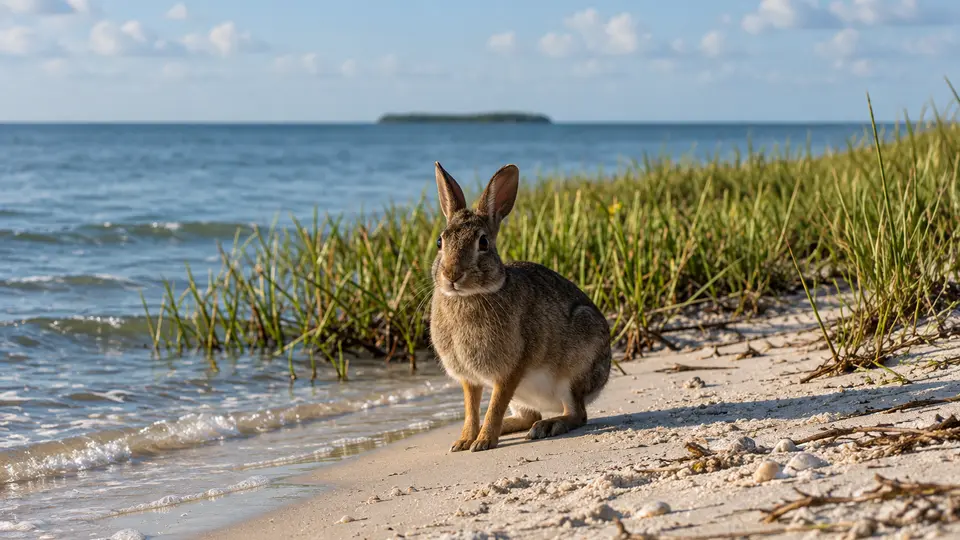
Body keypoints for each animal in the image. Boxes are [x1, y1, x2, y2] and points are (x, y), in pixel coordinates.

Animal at [429, 161, 612, 453]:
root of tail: (602, 380)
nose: (451, 275)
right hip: (524, 397)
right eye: (440, 241)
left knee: (577, 414)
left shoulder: (510, 370)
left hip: (573, 373)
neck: (470, 295)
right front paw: (465, 440)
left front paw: (483, 442)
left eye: (483, 242)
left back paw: (547, 426)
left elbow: (495, 405)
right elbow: (471, 408)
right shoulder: (470, 379)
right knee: (528, 416)